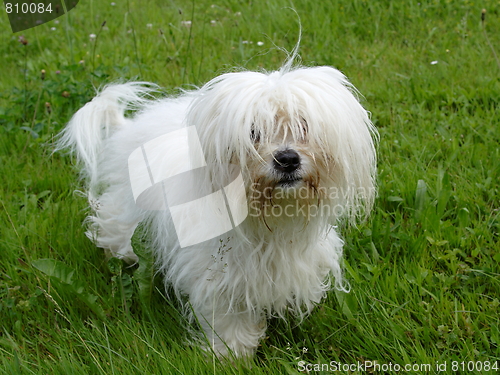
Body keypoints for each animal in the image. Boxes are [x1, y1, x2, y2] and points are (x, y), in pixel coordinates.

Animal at [57, 58, 376, 358]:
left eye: (304, 127)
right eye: (253, 132)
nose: (287, 158)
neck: (267, 222)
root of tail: (128, 128)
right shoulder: (219, 275)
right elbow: (228, 318)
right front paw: (230, 354)